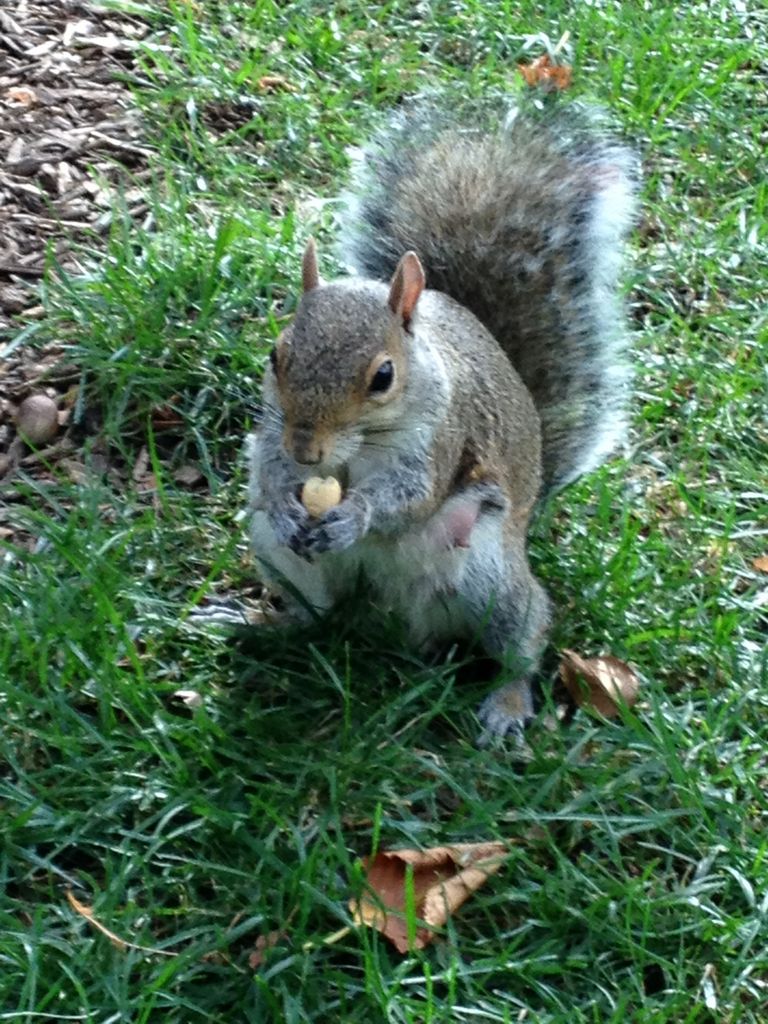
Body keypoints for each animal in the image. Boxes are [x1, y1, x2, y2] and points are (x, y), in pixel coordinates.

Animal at [247, 96, 639, 743]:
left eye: (383, 377)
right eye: (276, 356)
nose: (307, 451)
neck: (356, 450)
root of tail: (391, 621)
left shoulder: (443, 439)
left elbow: (411, 496)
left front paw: (357, 515)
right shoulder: (273, 429)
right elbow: (267, 465)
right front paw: (283, 499)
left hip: (491, 578)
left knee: (524, 639)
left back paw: (506, 705)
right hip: (285, 562)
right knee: (316, 613)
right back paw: (262, 624)